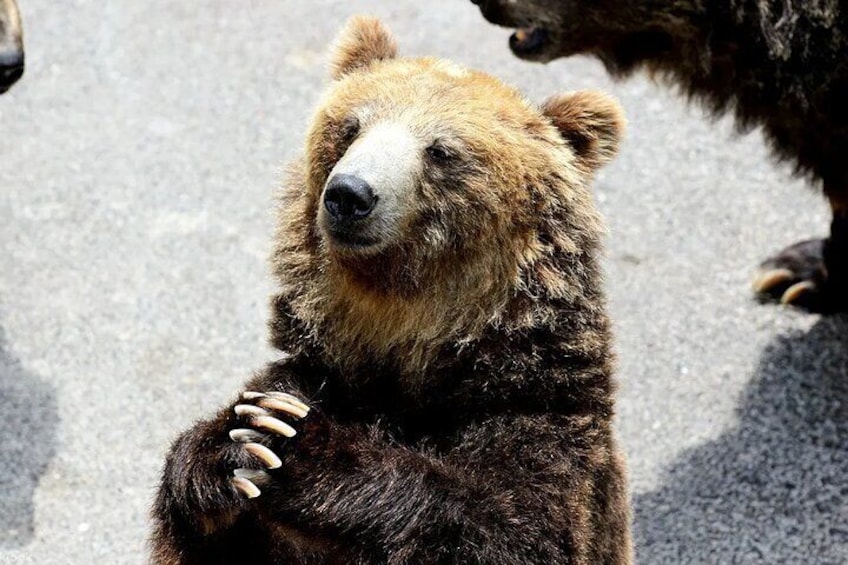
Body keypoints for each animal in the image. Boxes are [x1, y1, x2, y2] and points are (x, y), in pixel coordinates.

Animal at [151, 16, 628, 564]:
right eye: (351, 126)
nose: (349, 194)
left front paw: (294, 440)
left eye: (441, 151)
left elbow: (513, 526)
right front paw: (231, 446)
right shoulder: (309, 372)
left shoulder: (539, 412)